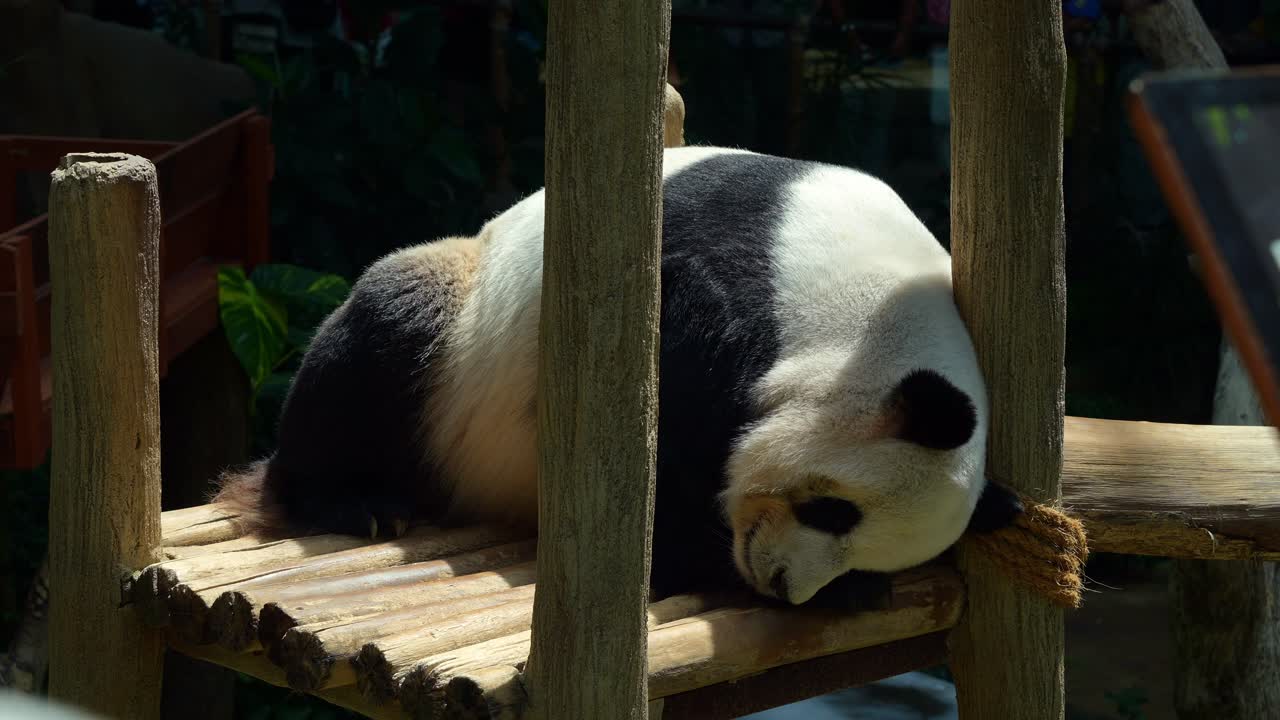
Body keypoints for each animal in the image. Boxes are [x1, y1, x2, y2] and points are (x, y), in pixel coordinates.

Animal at [214, 146, 1022, 608]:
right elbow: (661, 454)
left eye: (851, 544)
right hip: (458, 332)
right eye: (833, 511)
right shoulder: (707, 291)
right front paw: (692, 557)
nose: (784, 586)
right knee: (388, 323)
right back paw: (352, 502)